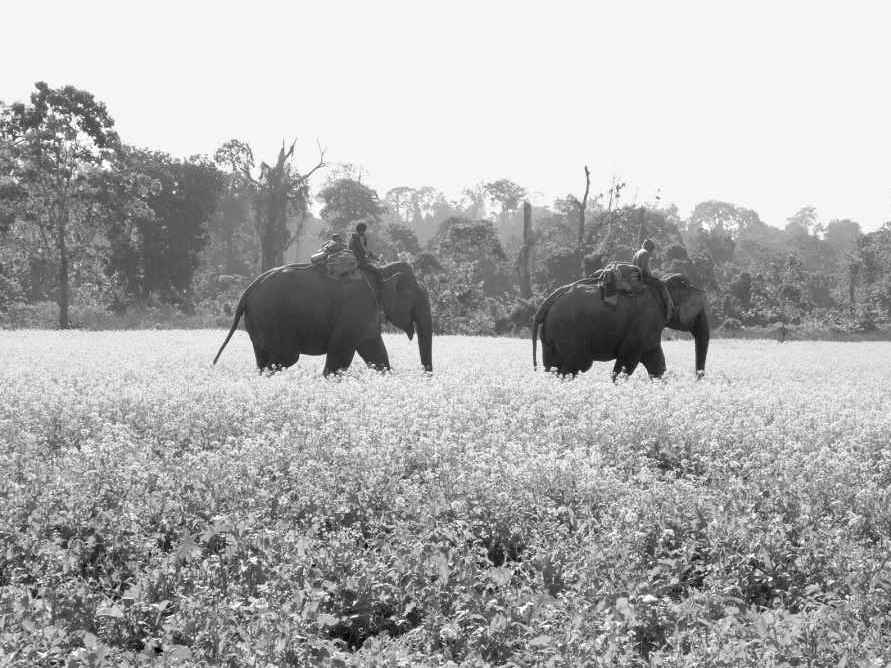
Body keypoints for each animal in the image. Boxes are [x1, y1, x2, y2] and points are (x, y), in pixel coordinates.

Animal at [213, 261, 433, 375]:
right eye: (416, 298)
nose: (425, 375)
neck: (380, 271)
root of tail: (248, 290)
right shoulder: (356, 309)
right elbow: (341, 353)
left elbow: (375, 352)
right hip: (273, 319)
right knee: (285, 357)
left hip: (257, 321)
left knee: (264, 359)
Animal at [532, 272, 709, 379]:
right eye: (699, 311)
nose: (697, 378)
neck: (664, 284)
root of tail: (547, 302)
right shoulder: (645, 321)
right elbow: (628, 359)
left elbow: (656, 362)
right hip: (567, 330)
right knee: (573, 364)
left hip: (551, 334)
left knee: (553, 366)